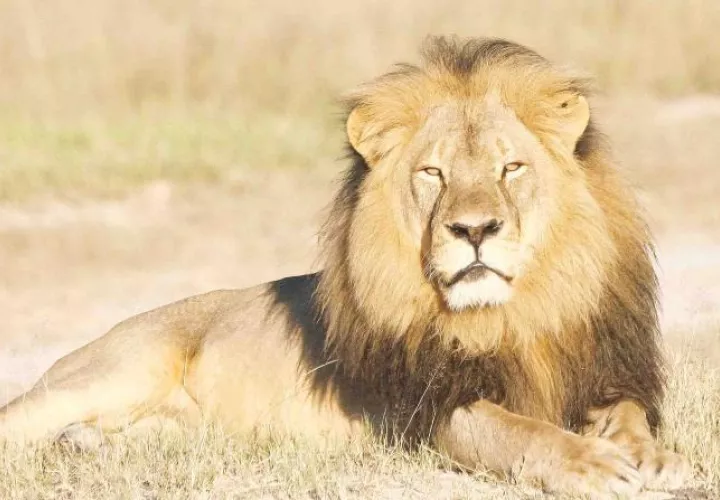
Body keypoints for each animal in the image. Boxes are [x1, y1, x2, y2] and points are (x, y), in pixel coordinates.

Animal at [0, 37, 690, 496]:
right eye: (433, 173)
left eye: (510, 167)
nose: (473, 230)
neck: (513, 314)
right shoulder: (429, 410)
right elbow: (517, 432)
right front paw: (592, 465)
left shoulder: (600, 372)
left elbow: (629, 414)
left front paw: (655, 458)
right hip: (116, 369)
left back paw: (84, 445)